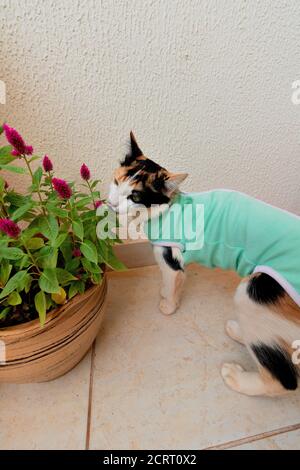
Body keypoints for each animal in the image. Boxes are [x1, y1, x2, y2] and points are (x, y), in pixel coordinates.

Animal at [108, 132, 300, 396]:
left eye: (134, 196)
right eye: (116, 182)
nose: (112, 204)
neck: (168, 207)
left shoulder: (170, 259)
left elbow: (172, 282)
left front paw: (168, 305)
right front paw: (165, 293)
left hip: (252, 293)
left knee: (284, 380)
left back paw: (237, 377)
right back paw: (239, 331)